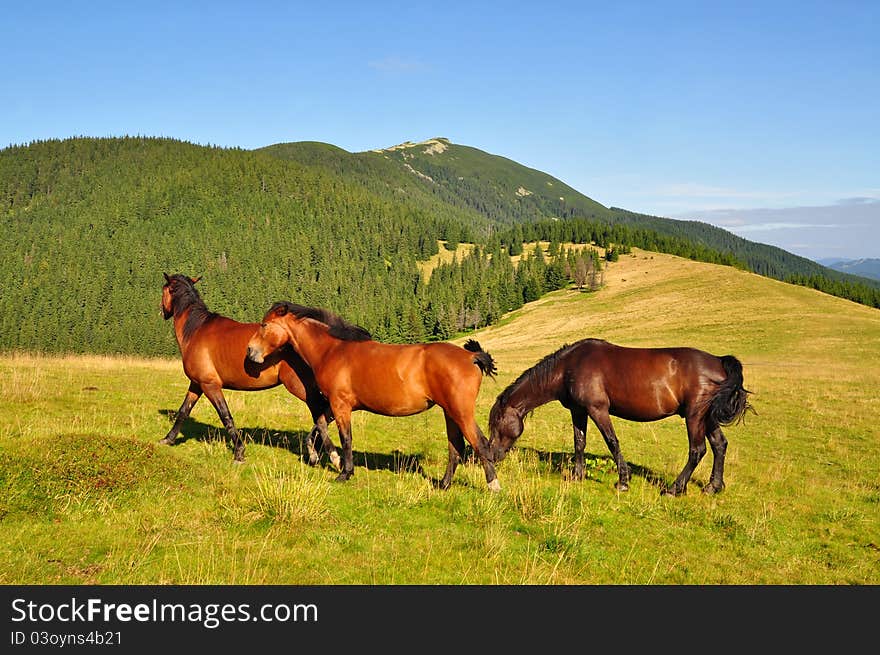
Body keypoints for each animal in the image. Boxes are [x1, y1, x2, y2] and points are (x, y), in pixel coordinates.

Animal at [156, 274, 338, 468]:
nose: (163, 311)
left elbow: (226, 416)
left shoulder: (210, 385)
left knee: (323, 413)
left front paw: (239, 452)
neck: (196, 330)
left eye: (164, 289)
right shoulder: (197, 384)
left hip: (301, 388)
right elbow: (184, 411)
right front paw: (168, 439)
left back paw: (319, 451)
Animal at [244, 302, 502, 492]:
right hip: (449, 412)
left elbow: (345, 438)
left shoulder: (340, 405)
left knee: (480, 444)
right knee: (455, 447)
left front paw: (344, 472)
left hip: (460, 412)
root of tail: (471, 357)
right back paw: (444, 484)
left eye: (264, 325)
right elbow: (319, 426)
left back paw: (493, 486)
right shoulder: (335, 405)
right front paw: (324, 456)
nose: (250, 351)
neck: (332, 350)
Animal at [484, 338, 752, 498]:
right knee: (719, 445)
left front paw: (623, 481)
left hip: (695, 416)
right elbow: (579, 442)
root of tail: (719, 361)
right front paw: (578, 475)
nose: (491, 455)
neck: (569, 366)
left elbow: (612, 442)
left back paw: (674, 488)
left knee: (697, 450)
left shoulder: (598, 409)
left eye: (497, 424)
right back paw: (713, 487)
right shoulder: (579, 410)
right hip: (708, 417)